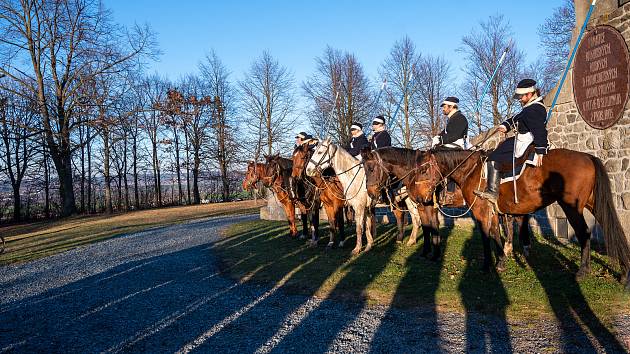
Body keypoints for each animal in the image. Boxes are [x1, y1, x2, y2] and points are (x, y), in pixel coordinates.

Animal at [420, 148, 630, 290]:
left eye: (423, 170)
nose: (423, 198)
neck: (471, 170)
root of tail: (587, 156)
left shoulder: (480, 211)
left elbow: (486, 236)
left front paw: (488, 265)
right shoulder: (493, 212)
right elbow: (496, 234)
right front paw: (501, 261)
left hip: (572, 207)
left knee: (584, 233)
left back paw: (582, 271)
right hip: (594, 204)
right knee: (612, 228)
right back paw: (624, 272)